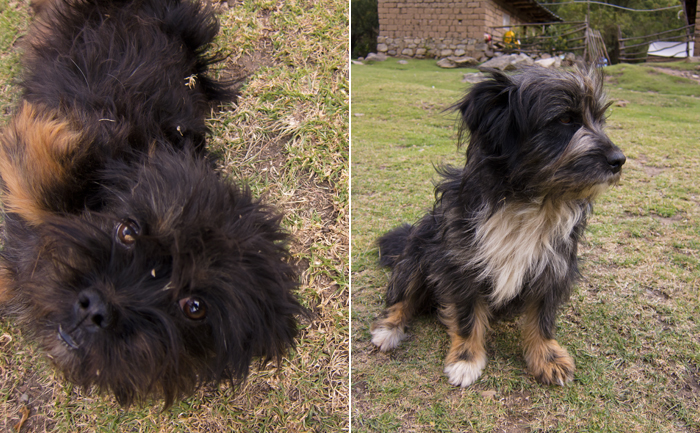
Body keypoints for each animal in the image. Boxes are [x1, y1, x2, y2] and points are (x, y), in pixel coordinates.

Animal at [370, 68, 628, 388]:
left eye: (600, 118)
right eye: (565, 119)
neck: (528, 199)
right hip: (419, 251)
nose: (619, 160)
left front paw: (546, 357)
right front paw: (465, 358)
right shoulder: (461, 264)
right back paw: (389, 328)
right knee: (403, 296)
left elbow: (542, 317)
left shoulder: (553, 265)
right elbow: (466, 316)